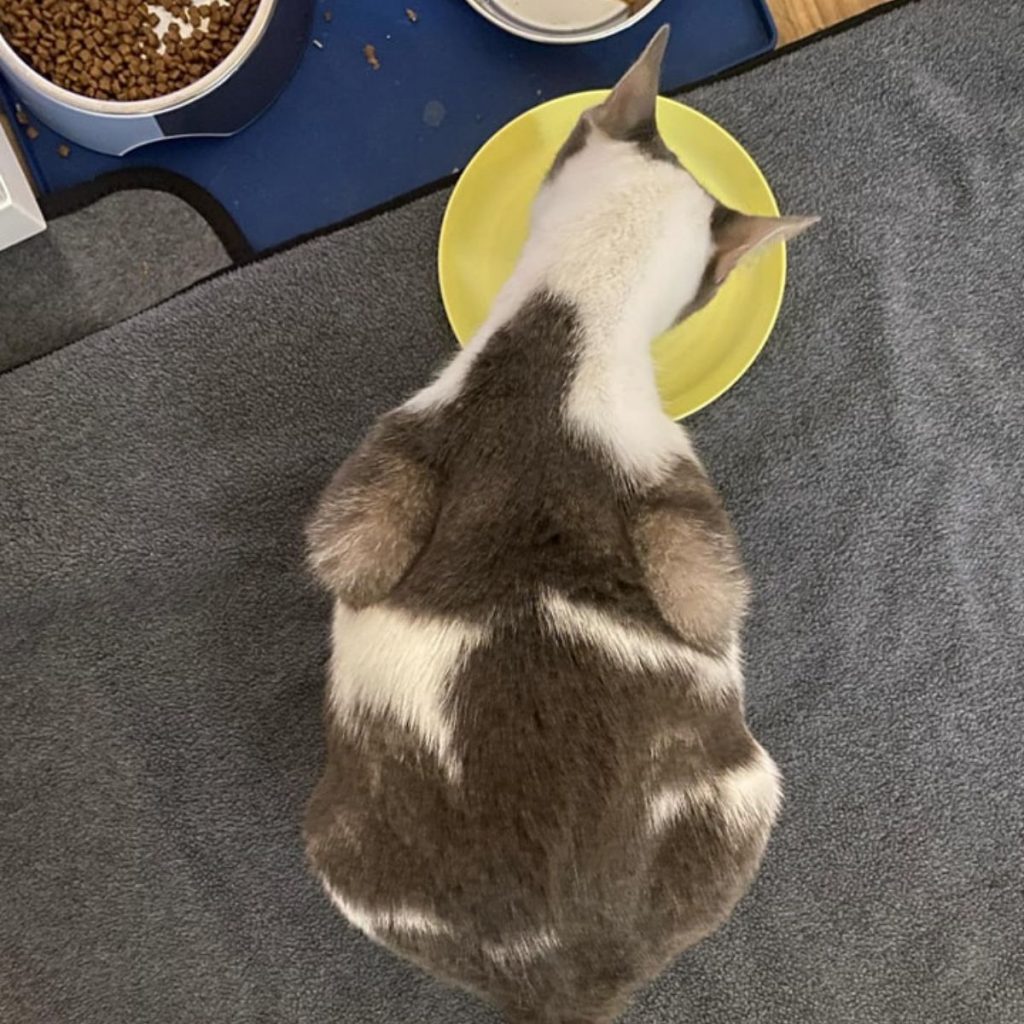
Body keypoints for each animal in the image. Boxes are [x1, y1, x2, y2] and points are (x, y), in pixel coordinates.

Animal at [303, 24, 815, 1024]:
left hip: (343, 852)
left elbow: (345, 551)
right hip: (749, 795)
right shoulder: (685, 507)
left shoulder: (381, 472)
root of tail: (561, 973)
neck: (571, 320)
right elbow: (713, 602)